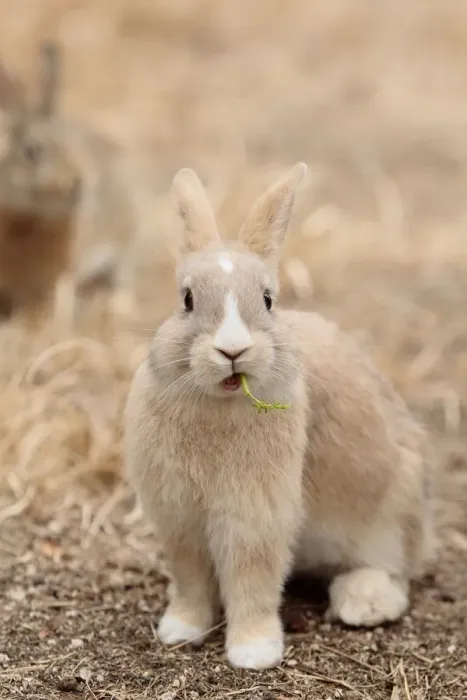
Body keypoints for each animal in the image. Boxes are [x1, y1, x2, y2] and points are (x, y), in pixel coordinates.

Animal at [124, 163, 435, 670]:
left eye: (269, 299)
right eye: (186, 299)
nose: (233, 350)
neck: (219, 402)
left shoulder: (256, 513)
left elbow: (252, 575)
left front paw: (254, 652)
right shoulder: (178, 515)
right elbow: (190, 576)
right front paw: (179, 631)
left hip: (393, 511)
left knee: (393, 569)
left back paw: (364, 603)